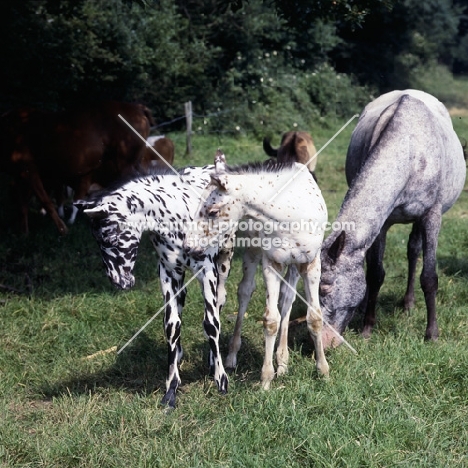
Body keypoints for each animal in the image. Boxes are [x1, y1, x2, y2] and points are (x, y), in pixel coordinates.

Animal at [74, 166, 229, 408]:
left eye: (108, 237)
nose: (118, 281)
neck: (178, 215)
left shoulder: (207, 271)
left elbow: (211, 324)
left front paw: (220, 380)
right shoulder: (168, 274)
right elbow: (172, 326)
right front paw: (171, 388)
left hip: (222, 267)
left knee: (218, 307)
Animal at [184, 154, 330, 392]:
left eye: (213, 211)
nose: (188, 247)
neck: (290, 215)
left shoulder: (311, 262)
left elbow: (314, 317)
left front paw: (323, 372)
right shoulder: (271, 262)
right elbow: (270, 319)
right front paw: (265, 380)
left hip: (293, 266)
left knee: (287, 299)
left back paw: (283, 362)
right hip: (251, 250)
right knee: (243, 292)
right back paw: (231, 357)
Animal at [320, 89, 466, 346]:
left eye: (324, 289)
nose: (322, 341)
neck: (410, 151)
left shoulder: (431, 216)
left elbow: (429, 277)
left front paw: (432, 334)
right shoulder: (383, 224)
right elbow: (375, 273)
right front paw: (367, 328)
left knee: (413, 250)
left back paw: (408, 303)